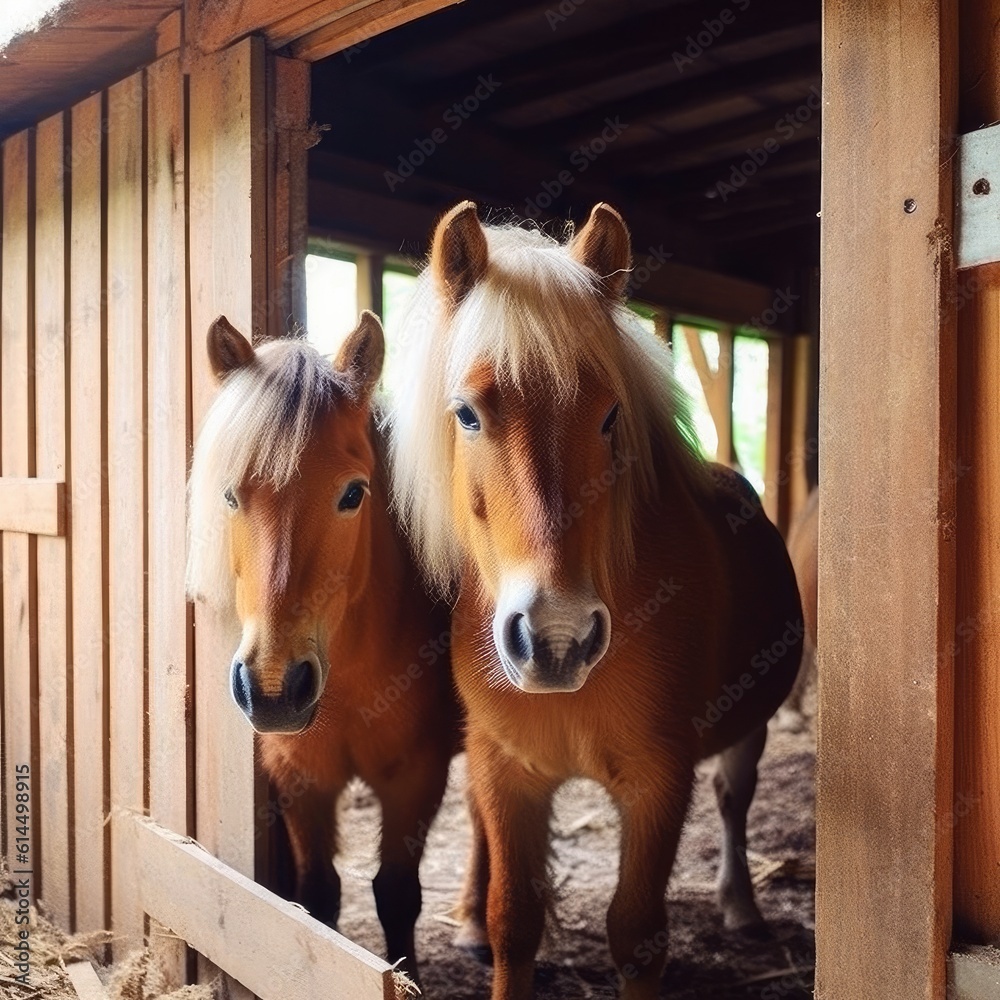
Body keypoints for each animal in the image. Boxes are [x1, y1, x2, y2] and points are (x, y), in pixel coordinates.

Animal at [188, 312, 468, 976]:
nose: (272, 689)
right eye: (230, 495)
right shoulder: (302, 780)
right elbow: (318, 897)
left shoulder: (417, 778)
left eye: (353, 493)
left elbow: (397, 894)